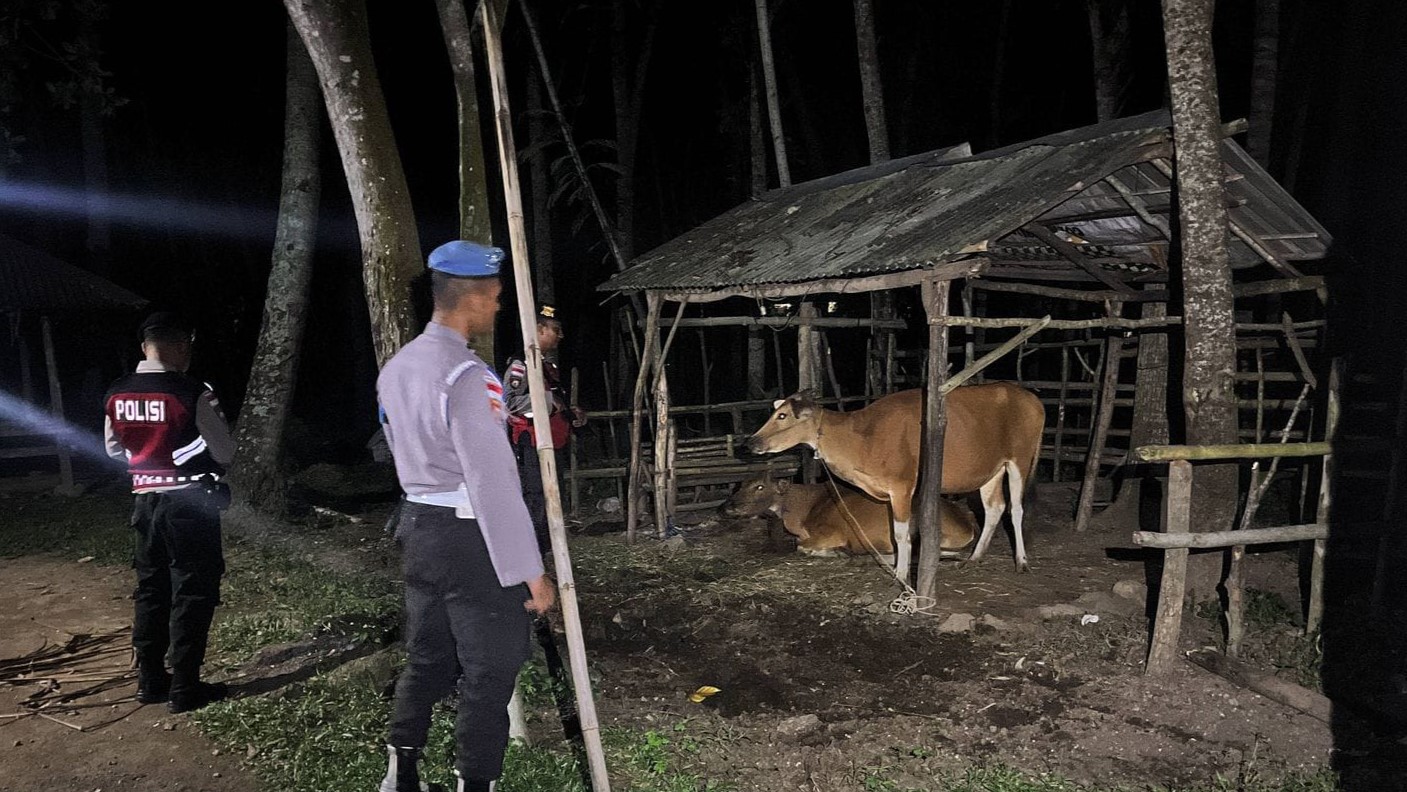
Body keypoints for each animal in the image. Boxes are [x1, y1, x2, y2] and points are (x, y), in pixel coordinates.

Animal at [720, 475, 973, 559]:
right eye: (740, 485)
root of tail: (967, 525)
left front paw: (835, 552)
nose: (727, 506)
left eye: (760, 486)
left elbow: (801, 546)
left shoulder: (832, 532)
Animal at [748, 385, 1046, 582]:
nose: (752, 442)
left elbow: (901, 534)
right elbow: (894, 533)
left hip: (1019, 460)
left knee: (1016, 509)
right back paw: (974, 557)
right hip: (991, 469)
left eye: (782, 416)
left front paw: (901, 573)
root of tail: (1032, 399)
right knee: (994, 508)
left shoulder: (902, 486)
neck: (862, 437)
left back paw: (1021, 561)